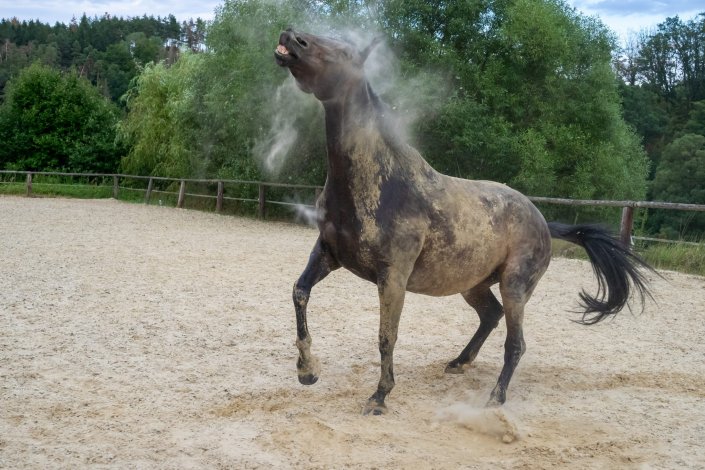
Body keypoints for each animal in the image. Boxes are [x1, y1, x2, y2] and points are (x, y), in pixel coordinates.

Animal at [272, 28, 652, 414]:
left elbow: (386, 336)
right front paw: (307, 371)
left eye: (347, 53)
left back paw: (495, 398)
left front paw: (379, 397)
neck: (382, 183)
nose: (292, 37)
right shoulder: (327, 253)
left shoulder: (392, 277)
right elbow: (299, 292)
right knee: (490, 316)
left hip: (515, 286)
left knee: (515, 343)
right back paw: (459, 362)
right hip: (474, 284)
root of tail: (543, 222)